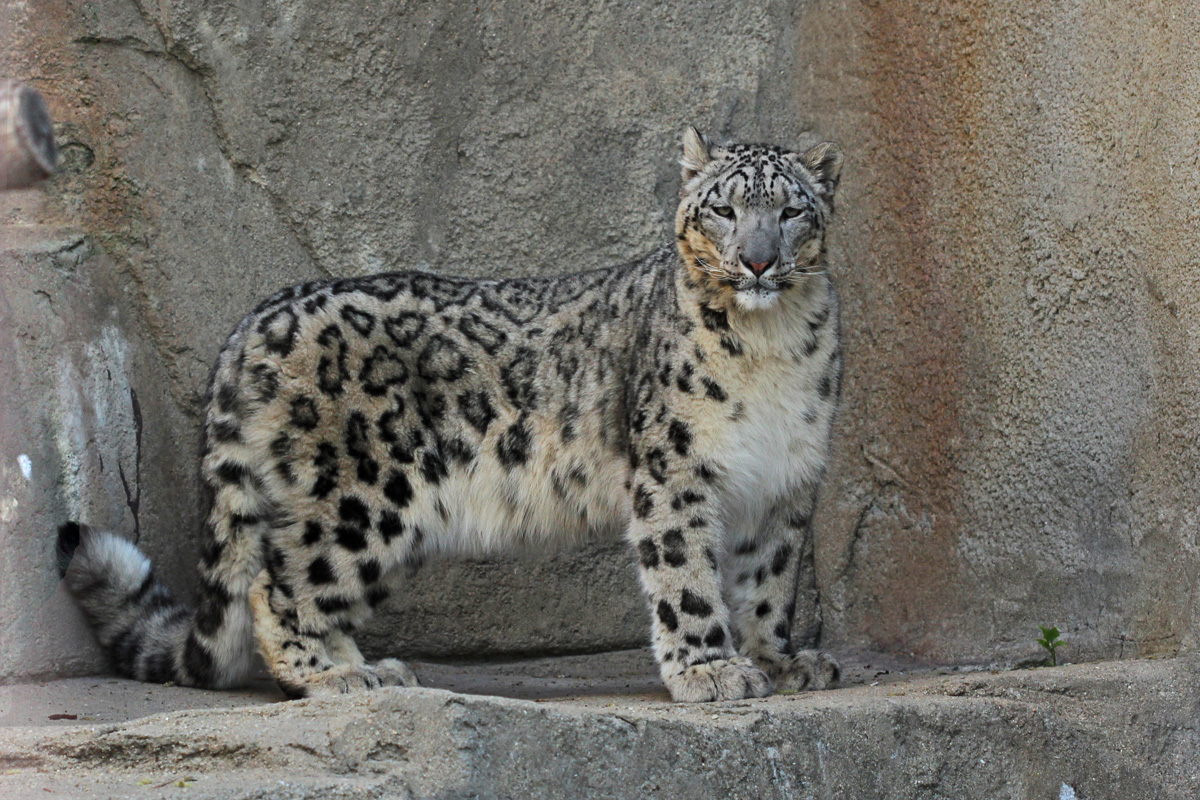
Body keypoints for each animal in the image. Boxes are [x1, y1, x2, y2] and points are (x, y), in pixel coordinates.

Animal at [57, 127, 845, 703]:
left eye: (791, 210)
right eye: (724, 209)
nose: (758, 262)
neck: (769, 347)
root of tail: (261, 315)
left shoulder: (787, 482)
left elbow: (769, 580)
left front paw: (781, 660)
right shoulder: (676, 468)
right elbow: (685, 571)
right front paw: (711, 670)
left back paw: (371, 667)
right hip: (359, 499)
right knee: (276, 582)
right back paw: (335, 675)